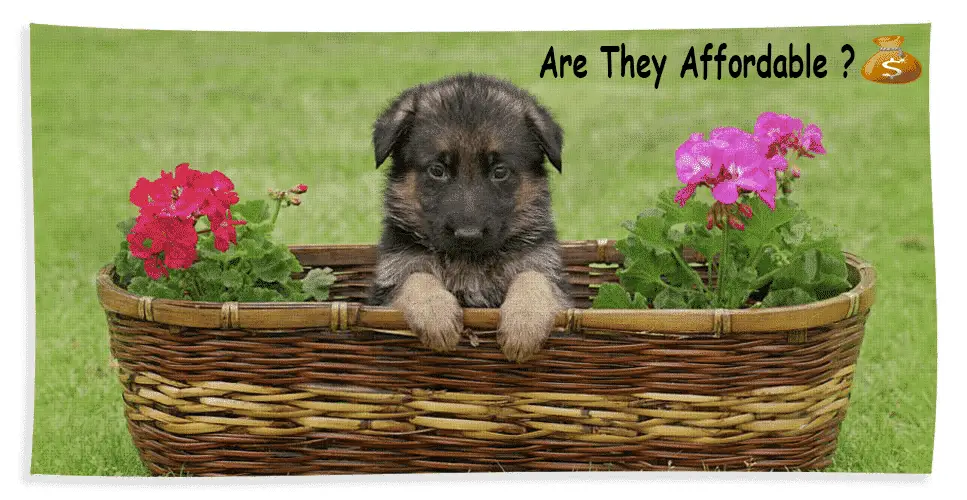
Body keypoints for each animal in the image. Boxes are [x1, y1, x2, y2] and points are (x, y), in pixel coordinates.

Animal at [368, 74, 568, 362]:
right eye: (437, 170)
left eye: (500, 172)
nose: (468, 235)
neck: (468, 263)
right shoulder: (387, 288)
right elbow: (415, 277)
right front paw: (435, 314)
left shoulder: (546, 272)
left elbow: (533, 278)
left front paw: (525, 323)